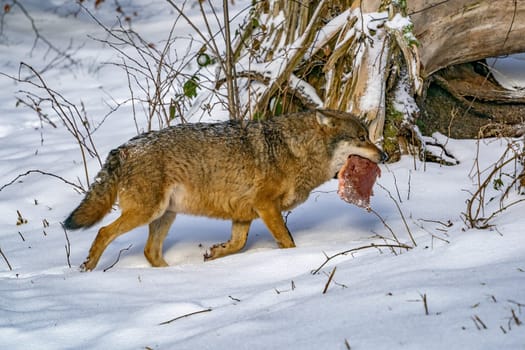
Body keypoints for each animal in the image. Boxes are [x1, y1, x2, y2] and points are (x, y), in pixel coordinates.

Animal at [64, 109, 384, 270]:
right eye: (361, 138)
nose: (384, 155)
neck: (294, 151)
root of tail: (122, 149)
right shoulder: (266, 206)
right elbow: (288, 242)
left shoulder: (244, 213)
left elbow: (238, 244)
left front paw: (215, 254)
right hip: (147, 212)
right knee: (103, 232)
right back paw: (87, 269)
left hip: (164, 215)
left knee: (149, 252)